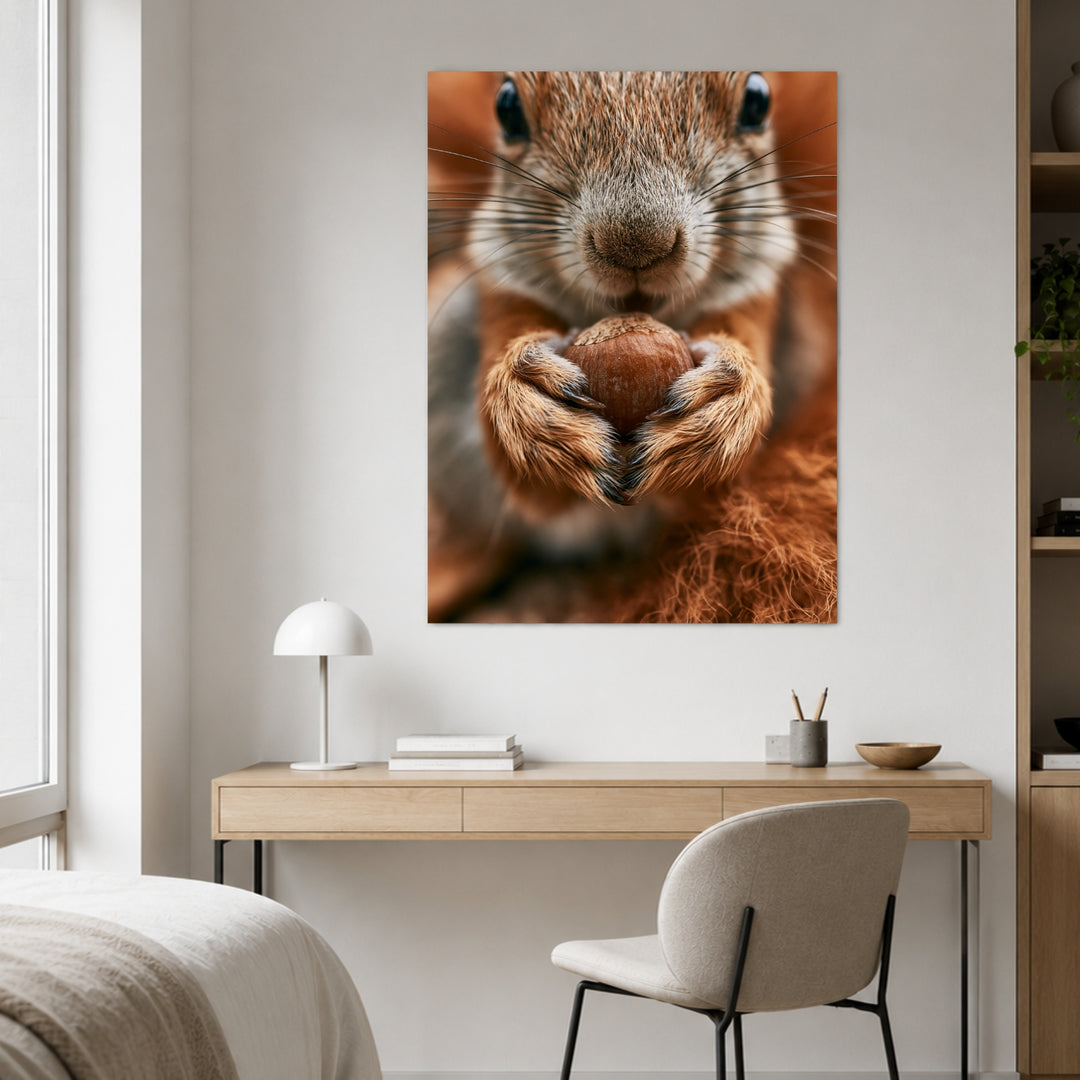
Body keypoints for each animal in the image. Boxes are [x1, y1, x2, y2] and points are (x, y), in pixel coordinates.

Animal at [428, 71, 836, 622]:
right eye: (507, 108)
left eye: (757, 101)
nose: (637, 245)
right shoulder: (503, 291)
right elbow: (524, 476)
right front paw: (533, 409)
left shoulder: (760, 295)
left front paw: (723, 407)